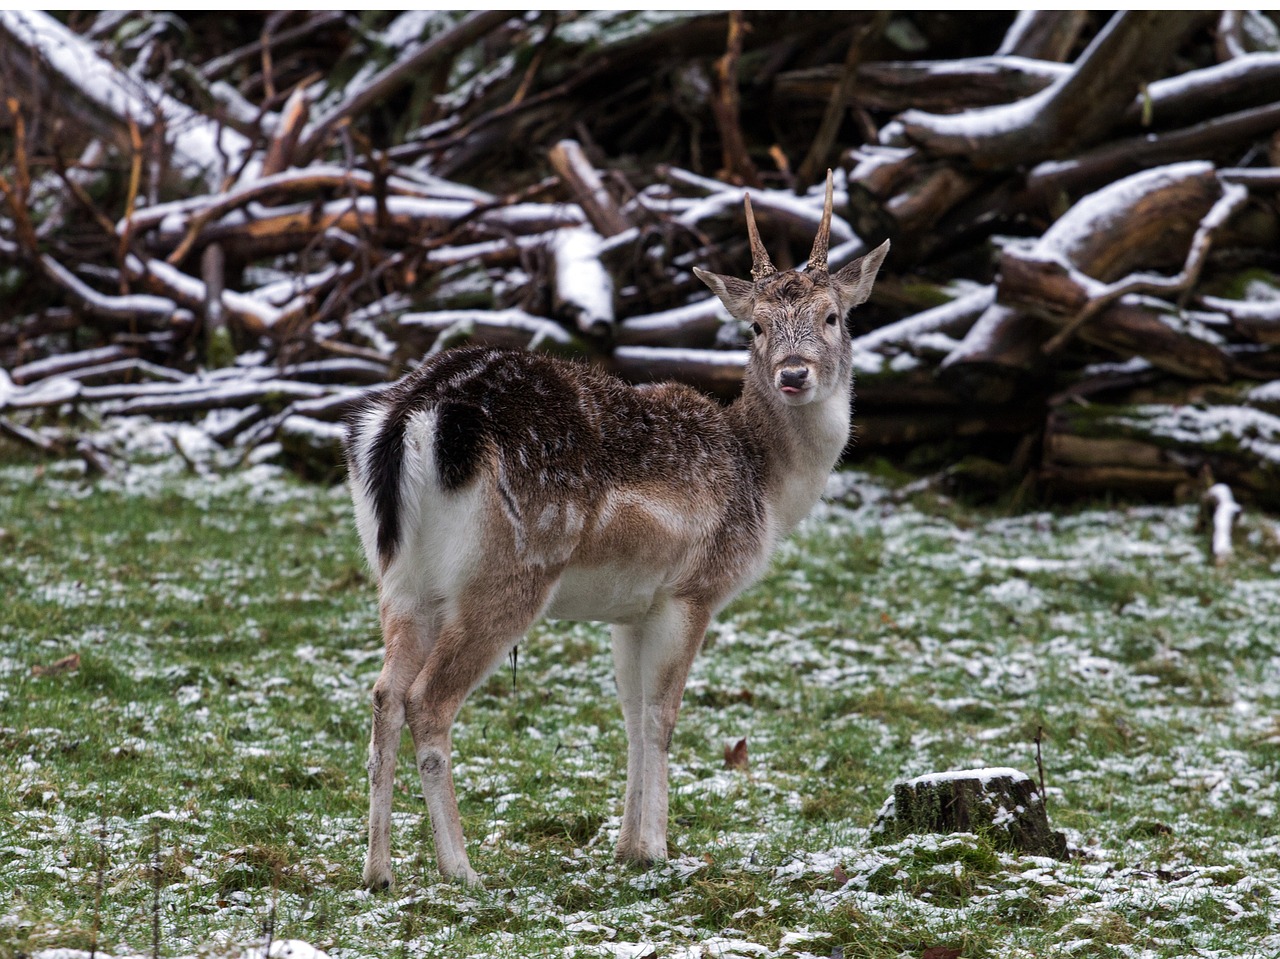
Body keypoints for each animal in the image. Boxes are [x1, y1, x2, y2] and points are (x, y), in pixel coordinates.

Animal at [345, 170, 896, 880]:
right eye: (755, 326)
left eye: (832, 316)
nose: (794, 373)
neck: (767, 488)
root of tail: (411, 415)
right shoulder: (692, 591)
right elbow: (663, 715)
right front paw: (656, 850)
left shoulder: (630, 606)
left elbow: (631, 713)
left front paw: (627, 846)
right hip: (507, 572)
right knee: (427, 700)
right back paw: (460, 868)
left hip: (402, 577)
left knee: (384, 694)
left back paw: (378, 871)